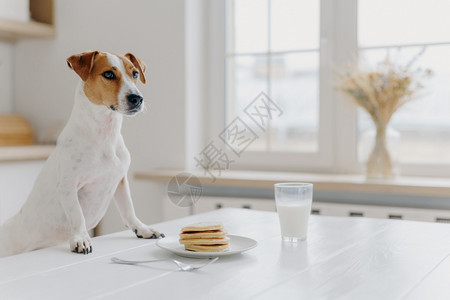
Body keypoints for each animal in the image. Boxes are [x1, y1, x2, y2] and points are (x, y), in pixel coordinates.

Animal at [0, 50, 163, 256]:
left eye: (134, 73)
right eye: (108, 74)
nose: (137, 98)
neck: (104, 135)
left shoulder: (120, 181)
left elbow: (129, 209)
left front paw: (142, 229)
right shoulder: (68, 186)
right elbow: (77, 216)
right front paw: (81, 239)